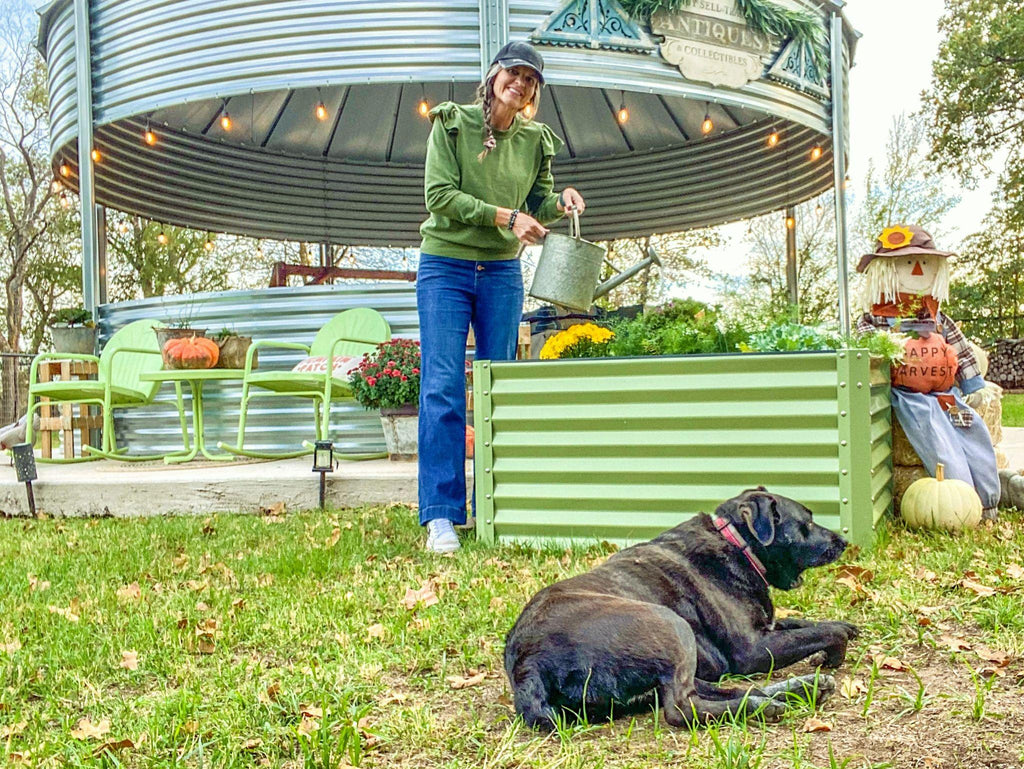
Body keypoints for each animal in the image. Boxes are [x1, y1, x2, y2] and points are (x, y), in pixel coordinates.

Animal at [503, 487, 856, 729]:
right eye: (807, 521)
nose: (843, 541)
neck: (736, 543)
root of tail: (527, 666)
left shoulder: (764, 629)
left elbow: (803, 623)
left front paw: (845, 626)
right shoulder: (751, 650)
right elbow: (825, 633)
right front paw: (835, 648)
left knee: (729, 690)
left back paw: (800, 690)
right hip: (672, 625)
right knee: (682, 708)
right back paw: (768, 705)